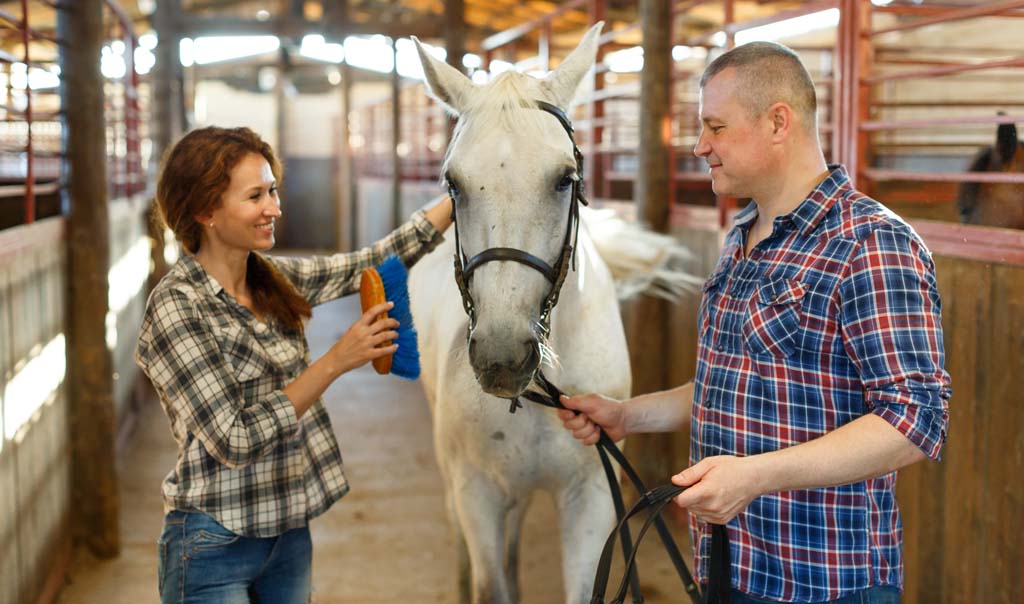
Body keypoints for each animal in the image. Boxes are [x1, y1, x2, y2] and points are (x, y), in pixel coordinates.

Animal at [411, 23, 692, 604]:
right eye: (453, 184)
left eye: (565, 179)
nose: (502, 356)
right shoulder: (478, 492)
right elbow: (489, 585)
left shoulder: (591, 497)